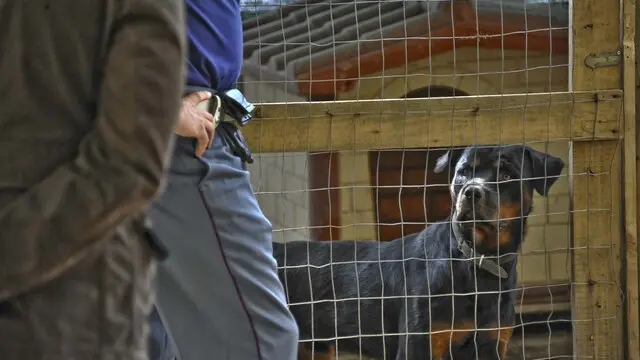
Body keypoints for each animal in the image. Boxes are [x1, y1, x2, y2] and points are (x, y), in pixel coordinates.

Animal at [272, 145, 564, 358]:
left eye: (507, 175)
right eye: (462, 172)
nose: (471, 192)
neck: (478, 261)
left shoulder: (491, 343)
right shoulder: (420, 343)